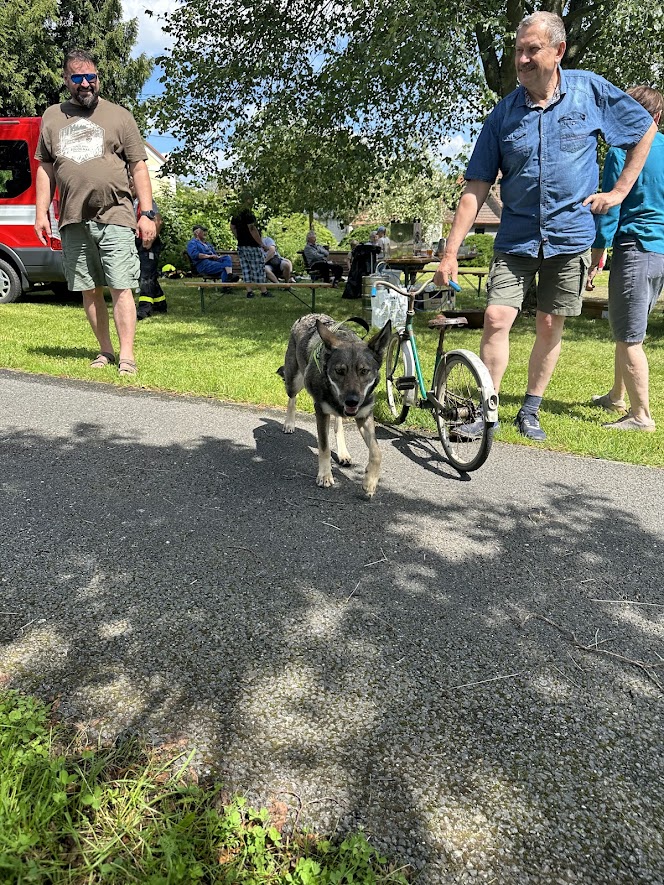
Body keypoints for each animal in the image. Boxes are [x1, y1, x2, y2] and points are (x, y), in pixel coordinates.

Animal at [277, 314, 391, 496]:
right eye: (339, 371)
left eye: (364, 371)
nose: (352, 401)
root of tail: (307, 316)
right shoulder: (321, 411)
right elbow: (324, 447)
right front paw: (325, 475)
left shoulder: (364, 415)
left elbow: (377, 452)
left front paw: (370, 481)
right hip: (294, 381)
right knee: (292, 399)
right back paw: (289, 423)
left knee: (338, 424)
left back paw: (343, 453)